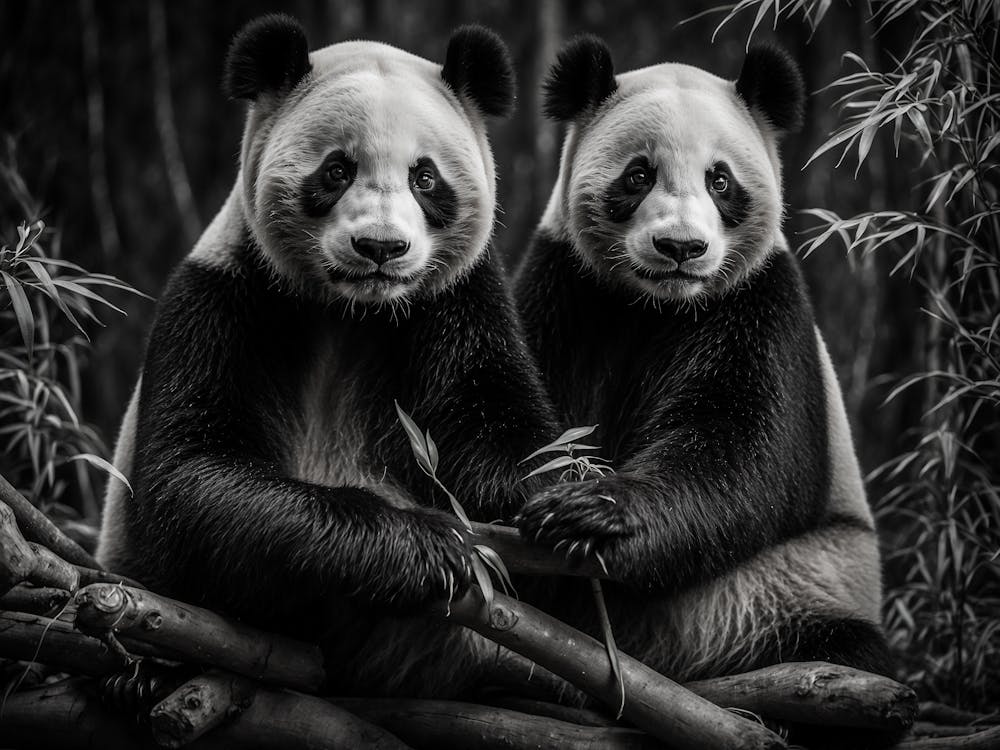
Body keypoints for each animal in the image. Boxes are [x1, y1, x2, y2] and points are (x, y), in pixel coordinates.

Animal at [96, 15, 561, 699]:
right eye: (337, 170)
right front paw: (426, 547)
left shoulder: (457, 302)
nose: (381, 247)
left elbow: (493, 431)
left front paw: (569, 507)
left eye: (426, 177)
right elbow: (193, 475)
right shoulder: (224, 299)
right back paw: (145, 670)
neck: (352, 310)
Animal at [514, 35, 897, 744]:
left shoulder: (757, 305)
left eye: (721, 181)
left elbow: (743, 450)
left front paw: (591, 512)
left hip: (781, 596)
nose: (681, 247)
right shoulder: (567, 289)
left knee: (846, 653)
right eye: (637, 176)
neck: (655, 305)